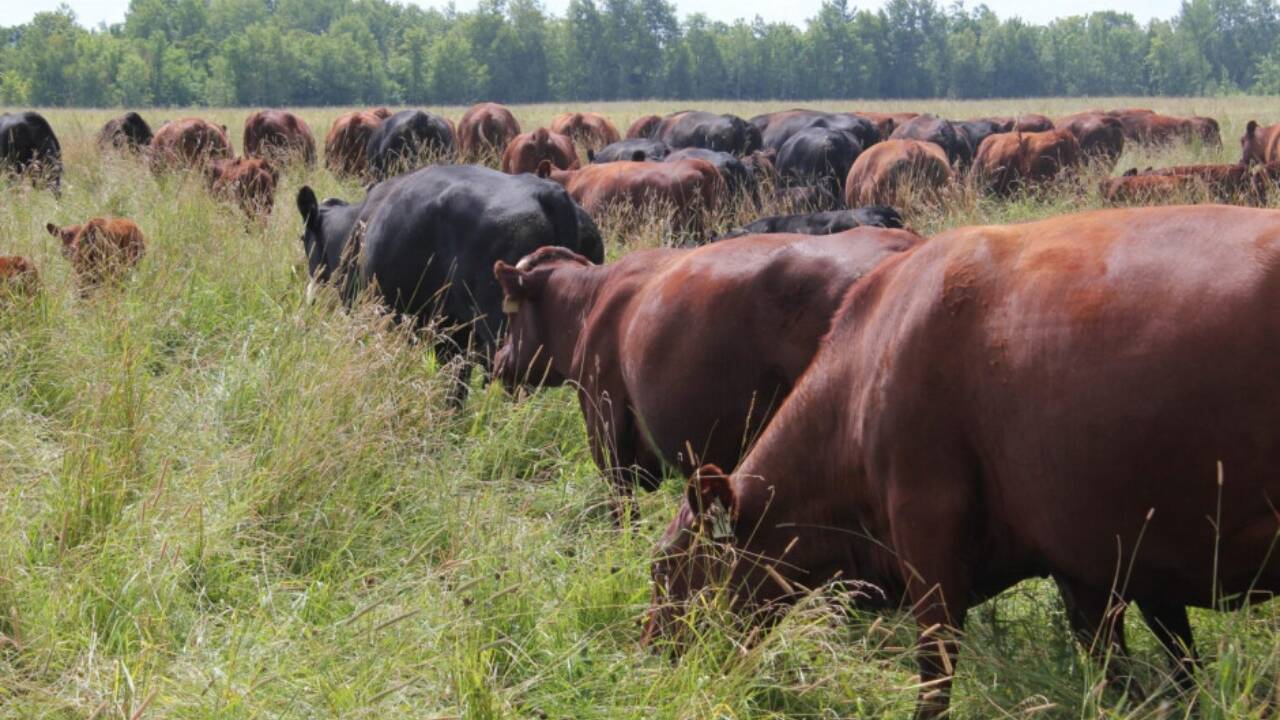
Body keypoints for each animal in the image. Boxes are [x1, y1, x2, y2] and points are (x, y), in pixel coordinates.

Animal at [644, 204, 1280, 720]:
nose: (650, 659)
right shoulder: (1092, 562)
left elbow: (936, 671)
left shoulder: (929, 537)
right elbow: (1138, 673)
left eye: (667, 568)